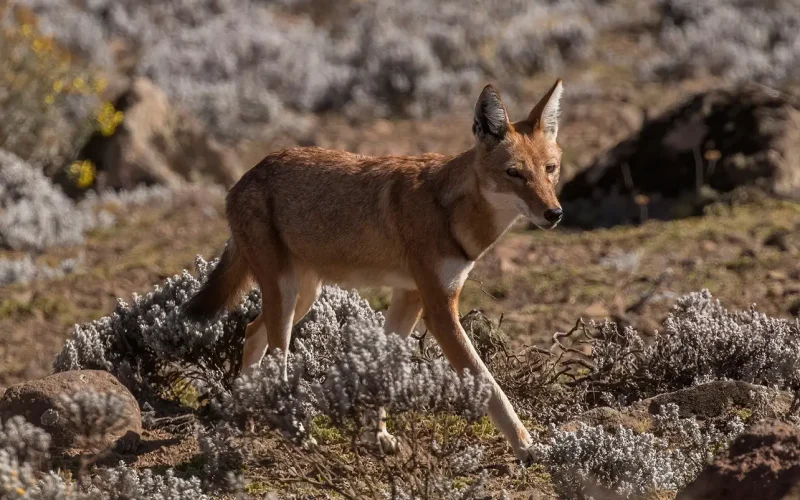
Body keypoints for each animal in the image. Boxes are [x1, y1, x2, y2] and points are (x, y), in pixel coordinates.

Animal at [181, 79, 565, 462]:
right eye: (514, 173)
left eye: (550, 169)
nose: (555, 213)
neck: (451, 212)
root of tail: (245, 176)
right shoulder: (440, 310)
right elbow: (489, 384)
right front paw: (527, 446)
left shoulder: (410, 297)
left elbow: (382, 369)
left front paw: (377, 435)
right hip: (287, 297)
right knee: (276, 359)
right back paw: (297, 432)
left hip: (303, 297)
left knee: (251, 331)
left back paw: (245, 415)